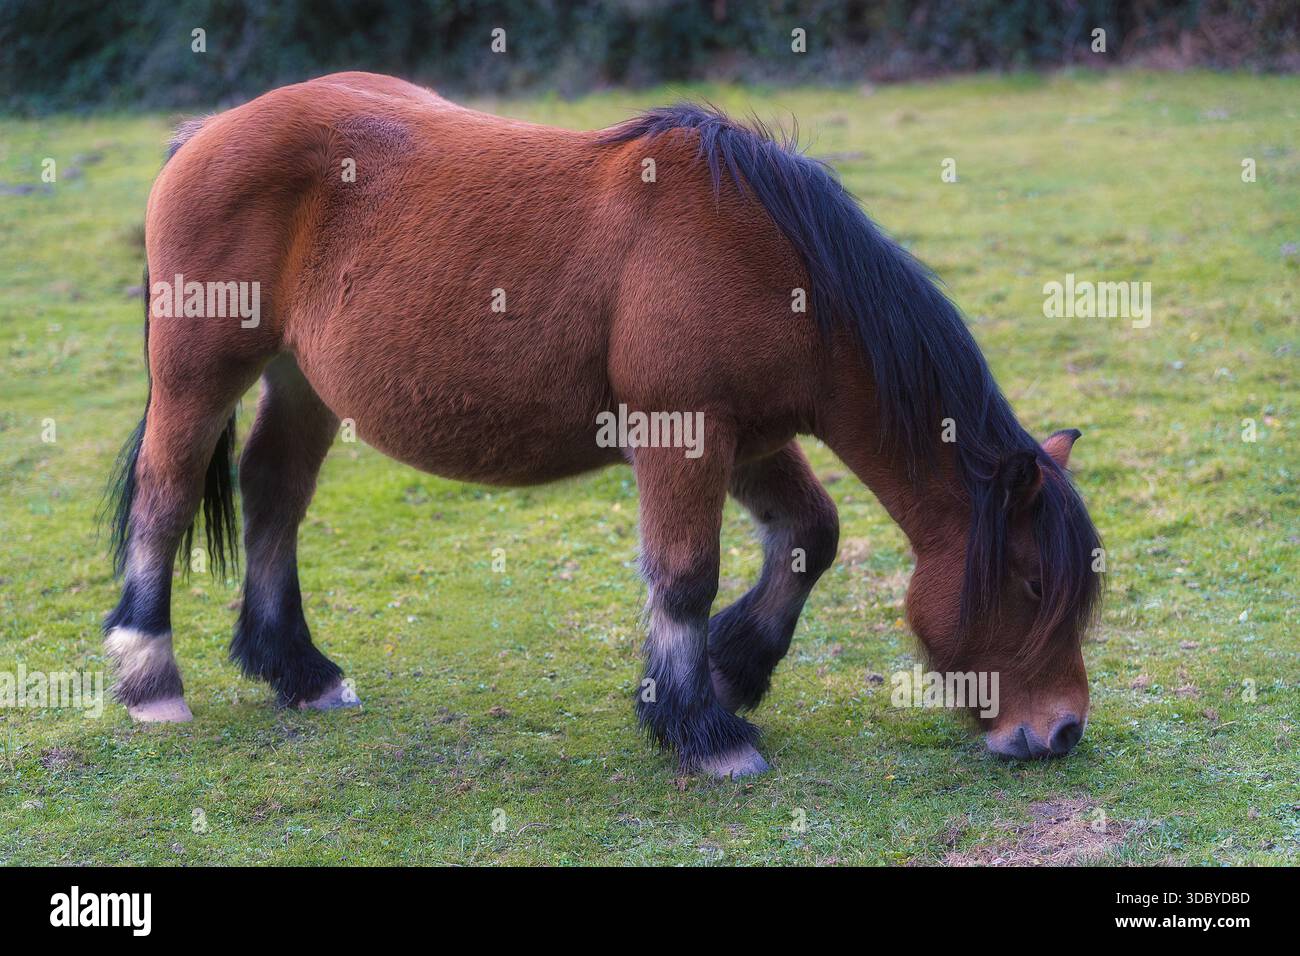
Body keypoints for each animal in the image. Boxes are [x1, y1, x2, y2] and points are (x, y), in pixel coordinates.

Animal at [102, 72, 1102, 777]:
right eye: (1028, 583)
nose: (1059, 733)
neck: (773, 262)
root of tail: (207, 132)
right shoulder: (682, 432)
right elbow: (686, 575)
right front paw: (704, 731)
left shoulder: (753, 438)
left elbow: (810, 534)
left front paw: (733, 670)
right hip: (199, 375)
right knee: (164, 497)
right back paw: (150, 680)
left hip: (303, 383)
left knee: (273, 496)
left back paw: (300, 672)